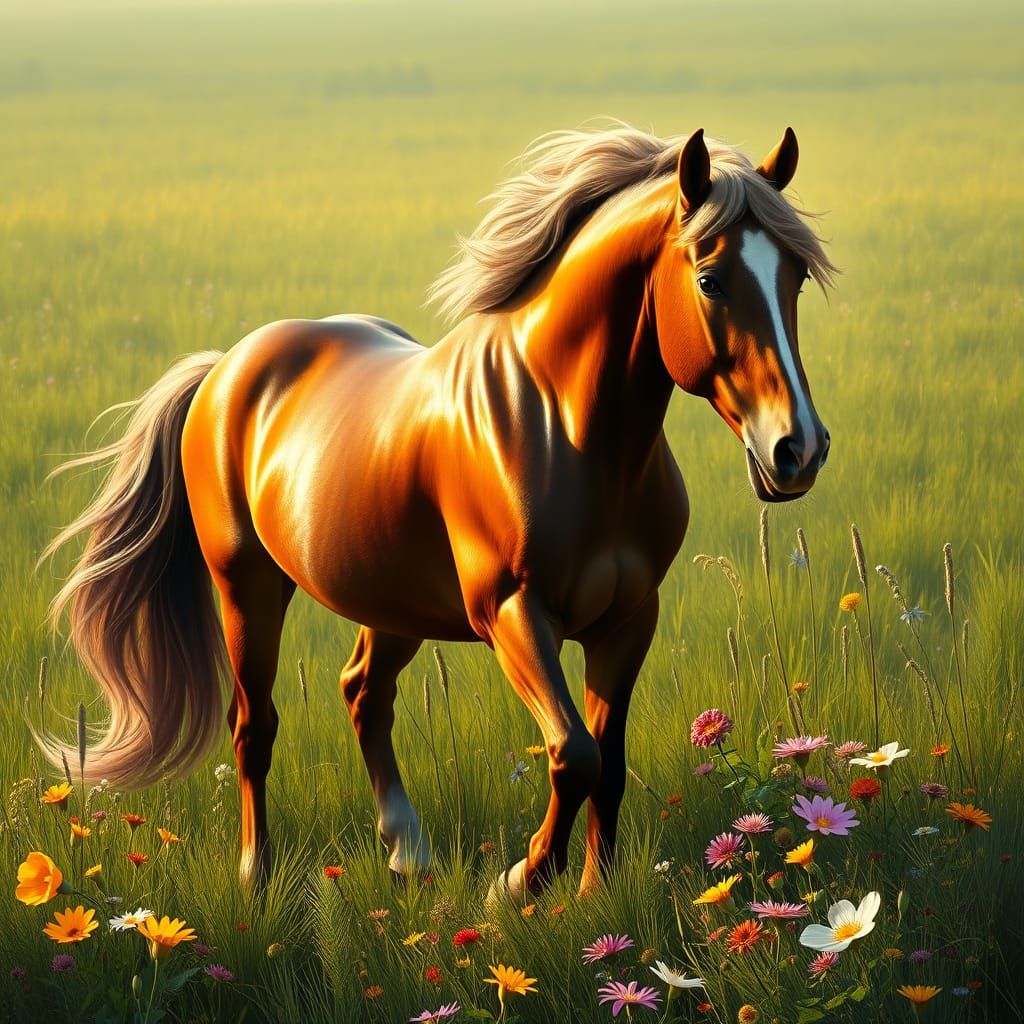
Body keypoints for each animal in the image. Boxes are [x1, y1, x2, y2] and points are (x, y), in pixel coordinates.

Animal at [42, 123, 836, 900]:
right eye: (710, 279)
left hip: (391, 601)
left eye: (795, 277)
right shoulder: (512, 613)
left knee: (364, 693)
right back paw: (257, 875)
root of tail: (226, 367)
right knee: (253, 724)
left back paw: (408, 852)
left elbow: (608, 762)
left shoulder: (630, 619)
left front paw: (594, 897)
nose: (798, 449)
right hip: (248, 584)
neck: (564, 431)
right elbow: (574, 753)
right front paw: (519, 883)